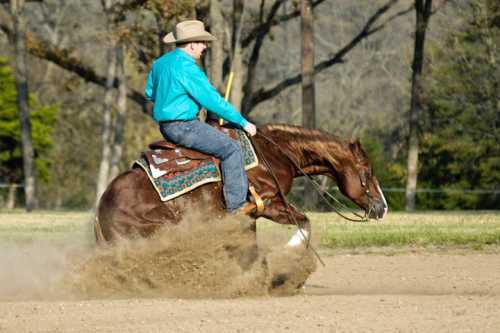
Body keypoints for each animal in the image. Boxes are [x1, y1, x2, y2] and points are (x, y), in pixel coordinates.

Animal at [95, 122, 388, 244]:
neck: (274, 153)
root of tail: (100, 210)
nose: (383, 207)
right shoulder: (269, 205)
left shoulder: (252, 215)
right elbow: (305, 222)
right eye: (366, 172)